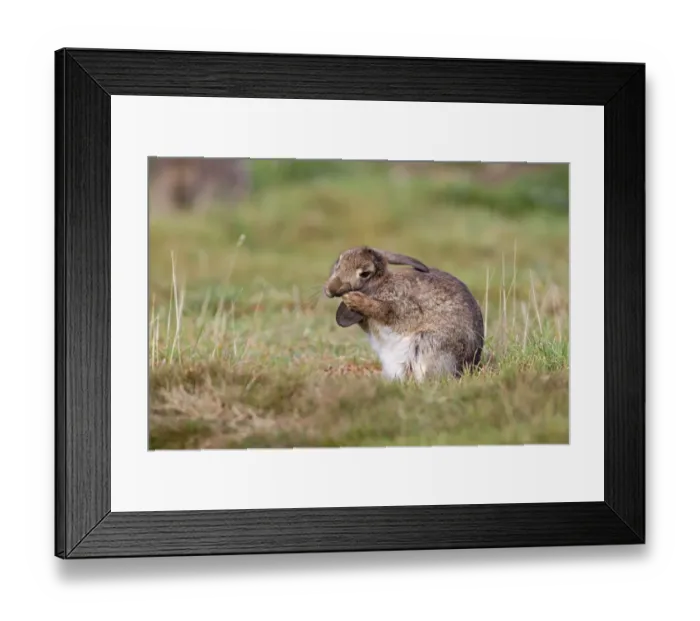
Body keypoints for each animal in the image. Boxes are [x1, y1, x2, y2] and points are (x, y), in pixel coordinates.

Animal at [323, 246, 484, 382]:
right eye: (338, 264)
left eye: (365, 273)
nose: (331, 289)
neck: (379, 284)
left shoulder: (404, 306)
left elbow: (389, 311)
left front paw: (354, 299)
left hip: (428, 344)